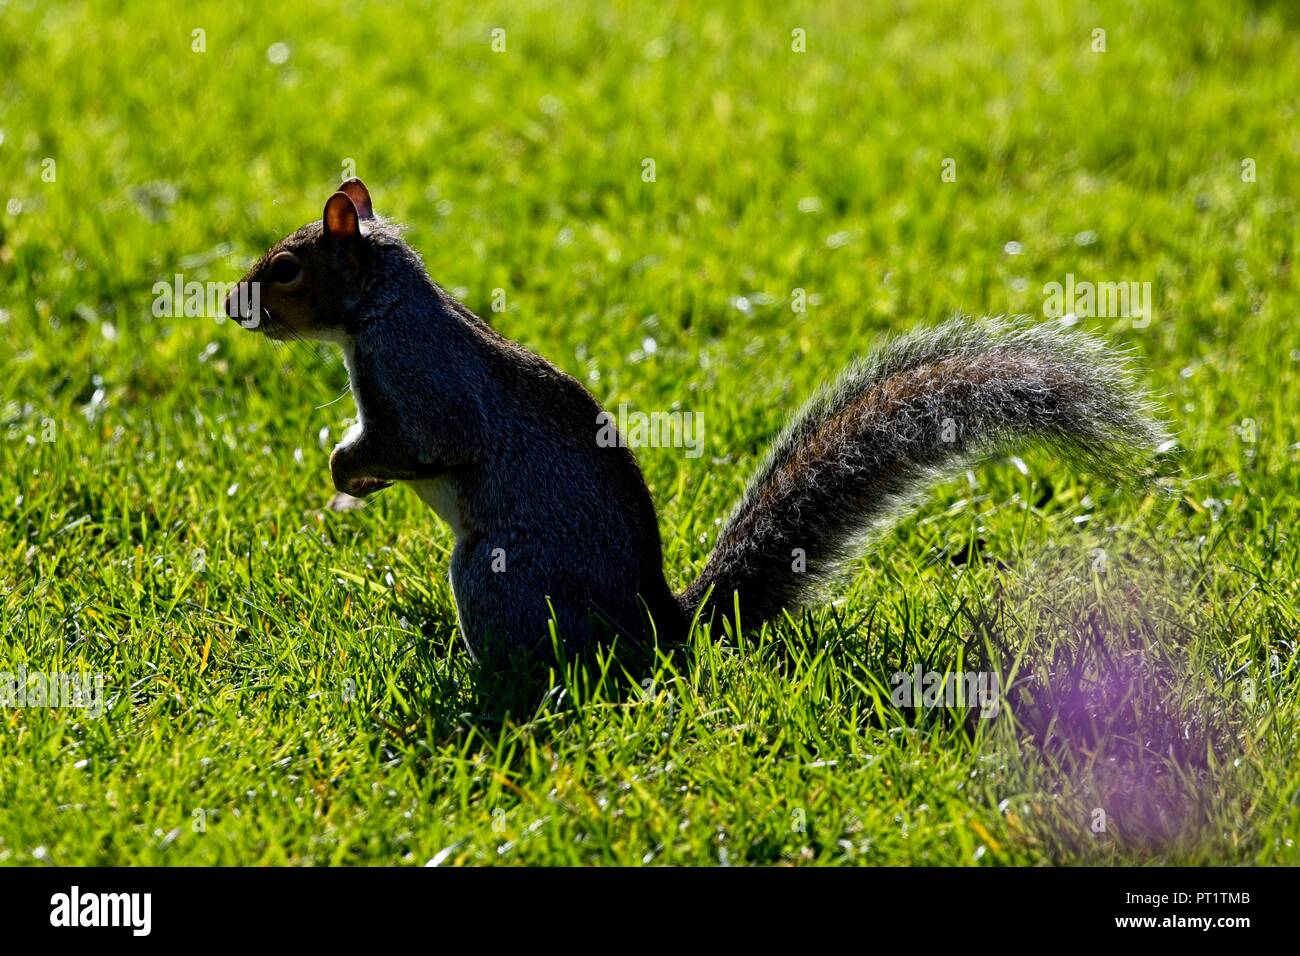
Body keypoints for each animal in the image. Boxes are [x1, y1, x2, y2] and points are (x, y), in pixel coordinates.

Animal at [228, 183, 1175, 671]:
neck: (381, 307)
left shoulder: (421, 388)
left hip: (499, 574)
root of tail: (660, 627)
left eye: (286, 268)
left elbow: (419, 442)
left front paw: (345, 472)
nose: (236, 305)